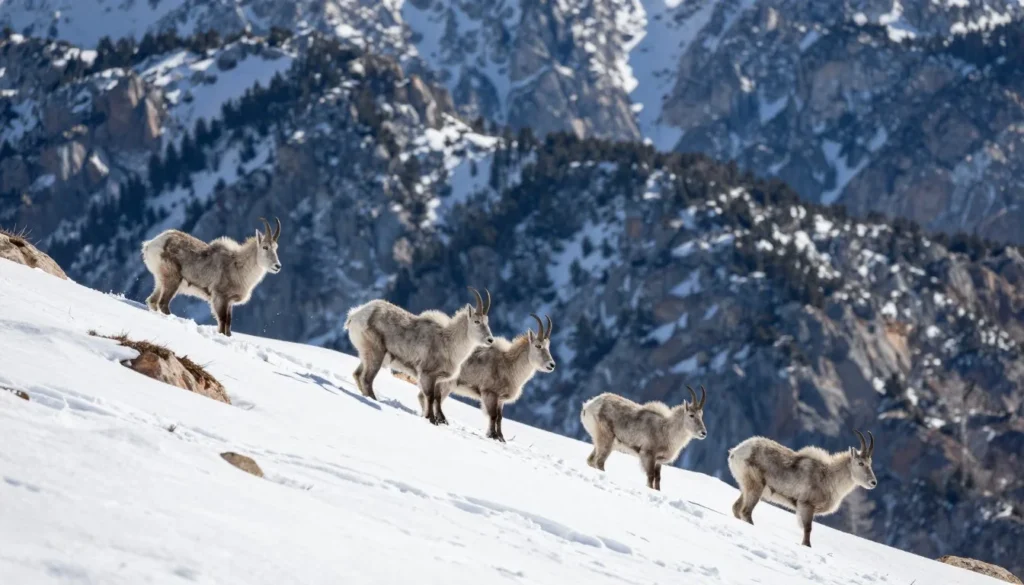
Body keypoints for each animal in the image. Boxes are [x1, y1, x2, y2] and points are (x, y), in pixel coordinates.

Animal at [141, 218, 282, 336]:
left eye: (276, 248)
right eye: (265, 247)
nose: (277, 266)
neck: (238, 267)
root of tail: (150, 245)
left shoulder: (229, 302)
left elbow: (228, 323)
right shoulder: (219, 297)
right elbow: (223, 321)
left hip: (161, 282)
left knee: (152, 300)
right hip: (173, 280)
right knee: (163, 303)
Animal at [344, 288, 494, 423]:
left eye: (487, 322)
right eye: (476, 321)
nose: (490, 340)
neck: (448, 342)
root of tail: (355, 315)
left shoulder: (437, 380)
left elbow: (435, 398)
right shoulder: (427, 375)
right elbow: (430, 397)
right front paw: (431, 419)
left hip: (366, 355)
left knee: (357, 374)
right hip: (375, 354)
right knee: (367, 379)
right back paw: (374, 400)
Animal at [429, 313, 557, 440]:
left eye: (548, 346)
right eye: (538, 346)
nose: (552, 365)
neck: (509, 365)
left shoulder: (500, 399)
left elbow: (499, 417)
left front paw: (501, 438)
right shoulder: (490, 393)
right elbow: (493, 415)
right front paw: (493, 435)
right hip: (446, 384)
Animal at [727, 430, 878, 547]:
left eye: (870, 463)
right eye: (860, 463)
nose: (873, 482)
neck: (829, 477)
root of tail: (736, 451)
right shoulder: (806, 505)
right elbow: (808, 528)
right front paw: (807, 545)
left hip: (747, 487)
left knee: (736, 508)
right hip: (756, 486)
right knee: (746, 511)